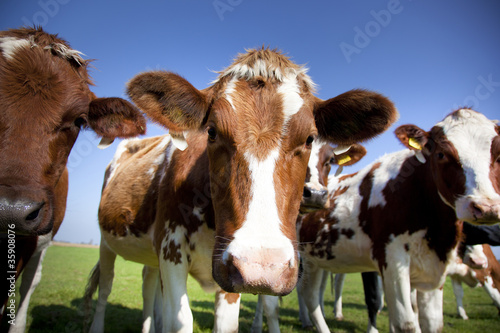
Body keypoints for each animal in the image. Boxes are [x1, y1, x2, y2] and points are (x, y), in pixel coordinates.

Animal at [85, 47, 398, 332]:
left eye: (310, 138)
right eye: (211, 132)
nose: (262, 268)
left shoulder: (228, 274)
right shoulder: (170, 249)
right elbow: (180, 319)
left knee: (148, 287)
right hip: (106, 242)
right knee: (106, 288)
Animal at [296, 109, 500, 332]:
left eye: (498, 154)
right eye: (441, 154)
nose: (486, 207)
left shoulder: (432, 270)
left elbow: (432, 322)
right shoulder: (391, 259)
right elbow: (405, 322)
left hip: (317, 257)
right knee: (308, 295)